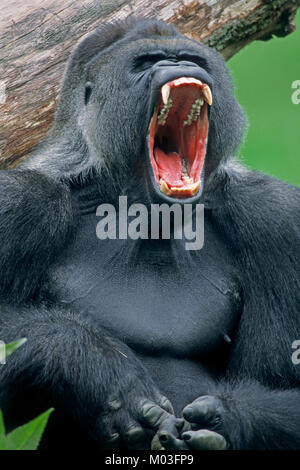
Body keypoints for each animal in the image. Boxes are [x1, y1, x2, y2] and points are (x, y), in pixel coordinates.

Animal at [0, 18, 300, 452]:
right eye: (145, 63)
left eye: (193, 59)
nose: (177, 66)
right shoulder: (21, 202)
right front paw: (97, 368)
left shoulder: (277, 219)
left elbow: (285, 387)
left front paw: (229, 418)